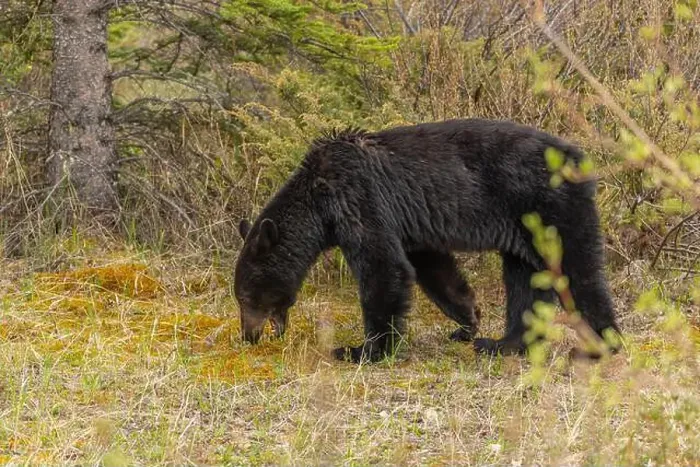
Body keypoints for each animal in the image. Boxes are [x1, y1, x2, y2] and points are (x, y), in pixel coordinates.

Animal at [234, 118, 620, 363]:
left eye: (247, 297)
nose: (248, 336)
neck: (318, 198)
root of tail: (579, 157)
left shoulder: (358, 199)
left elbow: (383, 267)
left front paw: (363, 350)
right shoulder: (410, 227)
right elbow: (434, 268)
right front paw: (468, 321)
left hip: (549, 206)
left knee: (578, 270)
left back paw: (599, 346)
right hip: (525, 227)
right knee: (525, 282)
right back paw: (502, 344)